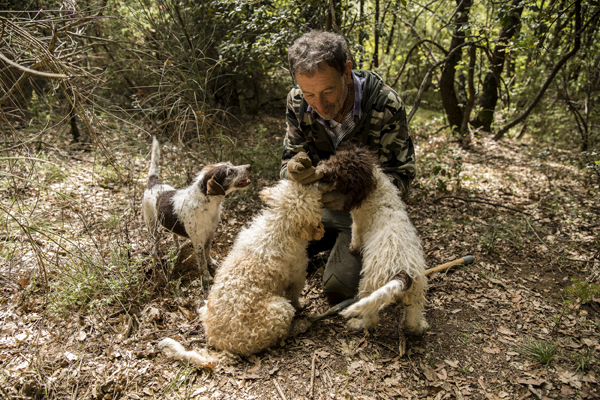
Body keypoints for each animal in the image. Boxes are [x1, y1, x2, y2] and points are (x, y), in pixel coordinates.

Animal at [142, 138, 251, 282]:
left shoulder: (210, 234)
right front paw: (207, 277)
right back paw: (155, 253)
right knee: (154, 241)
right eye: (229, 172)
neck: (206, 205)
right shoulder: (198, 241)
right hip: (151, 225)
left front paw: (211, 262)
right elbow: (202, 261)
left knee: (173, 234)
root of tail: (153, 183)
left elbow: (207, 252)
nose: (249, 166)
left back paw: (177, 247)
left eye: (231, 165)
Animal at [159, 178, 324, 366]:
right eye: (305, 192)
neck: (279, 225)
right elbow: (295, 297)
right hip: (280, 310)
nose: (316, 182)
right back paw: (300, 325)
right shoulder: (297, 277)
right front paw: (301, 306)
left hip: (206, 307)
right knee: (280, 335)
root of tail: (224, 347)